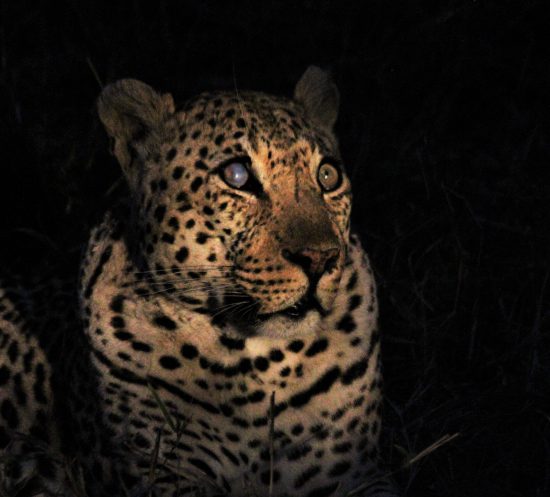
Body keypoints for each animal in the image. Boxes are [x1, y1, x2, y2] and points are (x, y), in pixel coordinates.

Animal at [0, 67, 396, 496]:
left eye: (328, 176)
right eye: (237, 176)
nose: (321, 258)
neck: (265, 362)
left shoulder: (355, 472)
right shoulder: (162, 474)